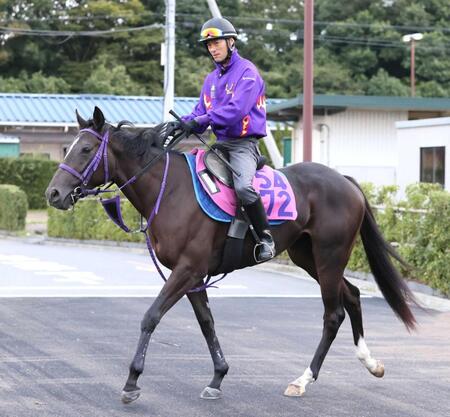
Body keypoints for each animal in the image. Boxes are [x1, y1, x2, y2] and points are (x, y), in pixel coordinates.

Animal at [44, 107, 416, 404]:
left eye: (86, 149)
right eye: (69, 147)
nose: (53, 193)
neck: (171, 191)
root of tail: (346, 181)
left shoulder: (186, 270)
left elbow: (151, 317)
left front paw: (132, 381)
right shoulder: (194, 276)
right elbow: (207, 324)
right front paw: (218, 376)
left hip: (329, 256)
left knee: (333, 313)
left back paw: (303, 379)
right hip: (307, 256)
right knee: (351, 295)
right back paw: (370, 362)